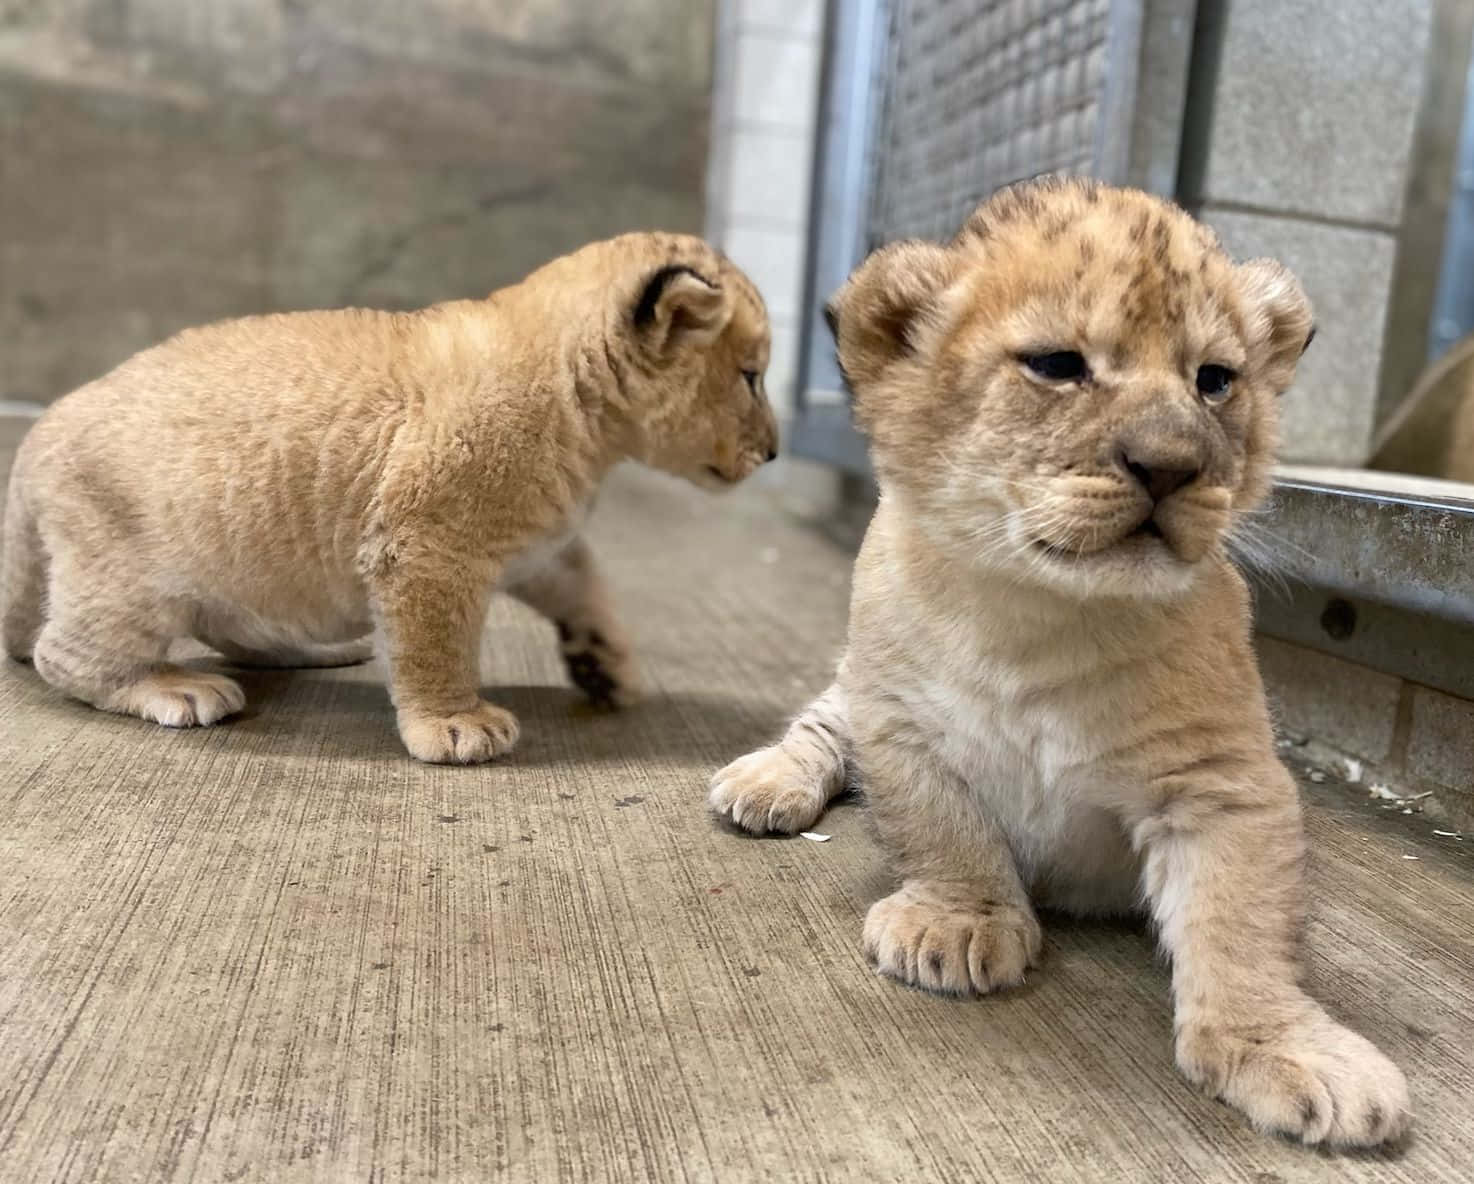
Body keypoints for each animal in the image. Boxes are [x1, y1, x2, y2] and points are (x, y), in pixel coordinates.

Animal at [2, 232, 777, 764]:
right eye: (750, 376)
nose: (773, 451)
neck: (588, 418)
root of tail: (37, 433)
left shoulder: (539, 544)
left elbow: (588, 587)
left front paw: (607, 664)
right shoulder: (428, 547)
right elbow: (437, 643)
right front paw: (455, 723)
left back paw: (311, 651)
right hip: (126, 573)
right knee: (60, 654)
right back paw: (170, 687)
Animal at [709, 178, 1409, 1147]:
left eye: (1214, 380)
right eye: (1055, 364)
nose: (1171, 466)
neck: (1044, 614)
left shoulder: (1225, 783)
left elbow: (1238, 921)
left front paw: (1285, 1046)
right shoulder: (900, 727)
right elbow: (945, 828)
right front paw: (957, 924)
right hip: (854, 686)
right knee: (820, 723)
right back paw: (766, 781)